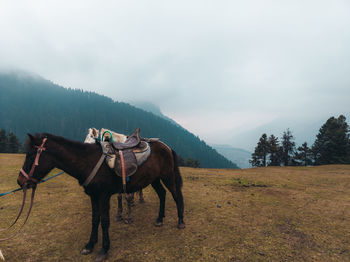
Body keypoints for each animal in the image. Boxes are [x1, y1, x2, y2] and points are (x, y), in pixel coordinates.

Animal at [16, 133, 186, 262]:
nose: (20, 181)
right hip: (154, 179)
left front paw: (104, 249)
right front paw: (90, 245)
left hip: (167, 176)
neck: (87, 161)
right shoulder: (93, 196)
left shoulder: (104, 196)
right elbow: (94, 219)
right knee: (162, 194)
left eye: (31, 155)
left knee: (176, 195)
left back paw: (180, 222)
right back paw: (159, 219)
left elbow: (104, 221)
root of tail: (166, 147)